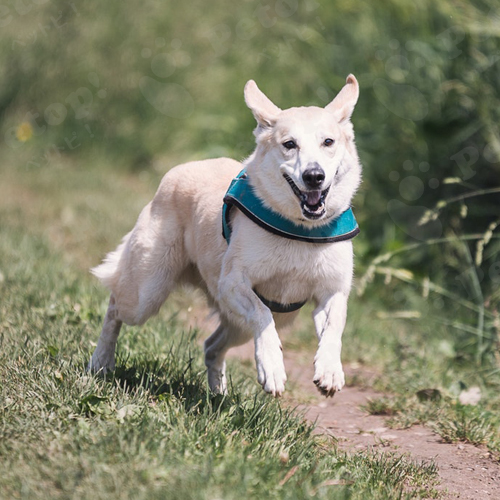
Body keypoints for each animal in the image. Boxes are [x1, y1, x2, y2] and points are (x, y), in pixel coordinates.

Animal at [90, 74, 362, 396]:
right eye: (289, 144)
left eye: (328, 142)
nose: (314, 176)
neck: (300, 230)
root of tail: (178, 170)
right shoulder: (233, 283)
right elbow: (262, 314)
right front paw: (272, 367)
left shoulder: (332, 292)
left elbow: (334, 327)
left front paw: (330, 370)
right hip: (146, 293)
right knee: (115, 308)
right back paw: (100, 363)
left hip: (238, 325)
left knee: (211, 345)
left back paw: (218, 394)